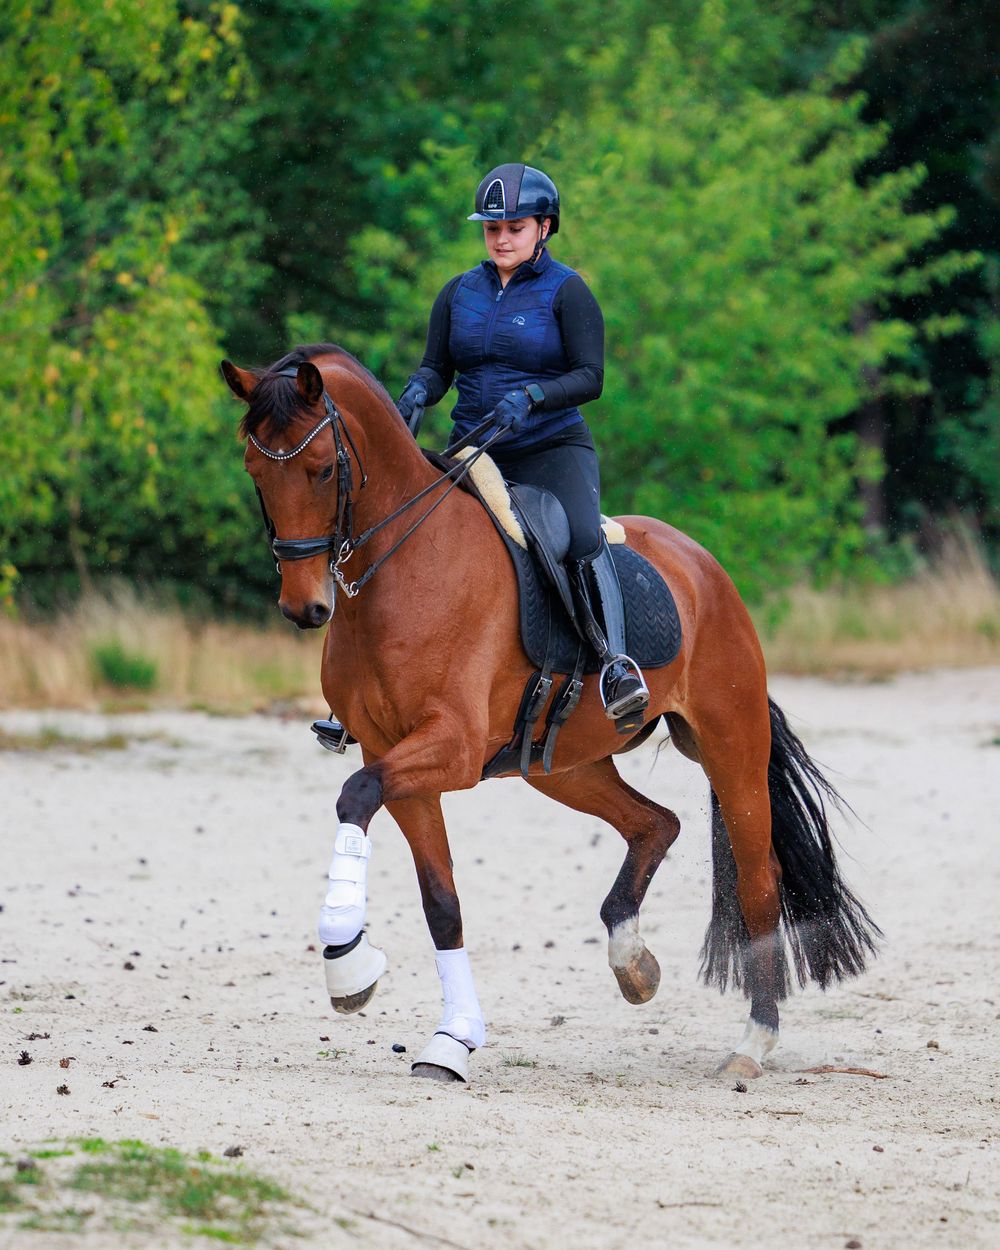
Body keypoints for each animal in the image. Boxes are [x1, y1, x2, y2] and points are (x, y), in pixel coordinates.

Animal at [220, 342, 879, 1084]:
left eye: (323, 469)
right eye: (254, 472)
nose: (304, 608)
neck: (402, 569)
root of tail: (704, 566)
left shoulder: (448, 748)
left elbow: (355, 796)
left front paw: (345, 960)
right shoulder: (391, 754)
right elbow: (441, 902)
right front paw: (451, 1039)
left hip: (729, 743)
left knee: (758, 879)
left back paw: (753, 1041)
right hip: (562, 764)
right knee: (656, 824)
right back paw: (633, 963)